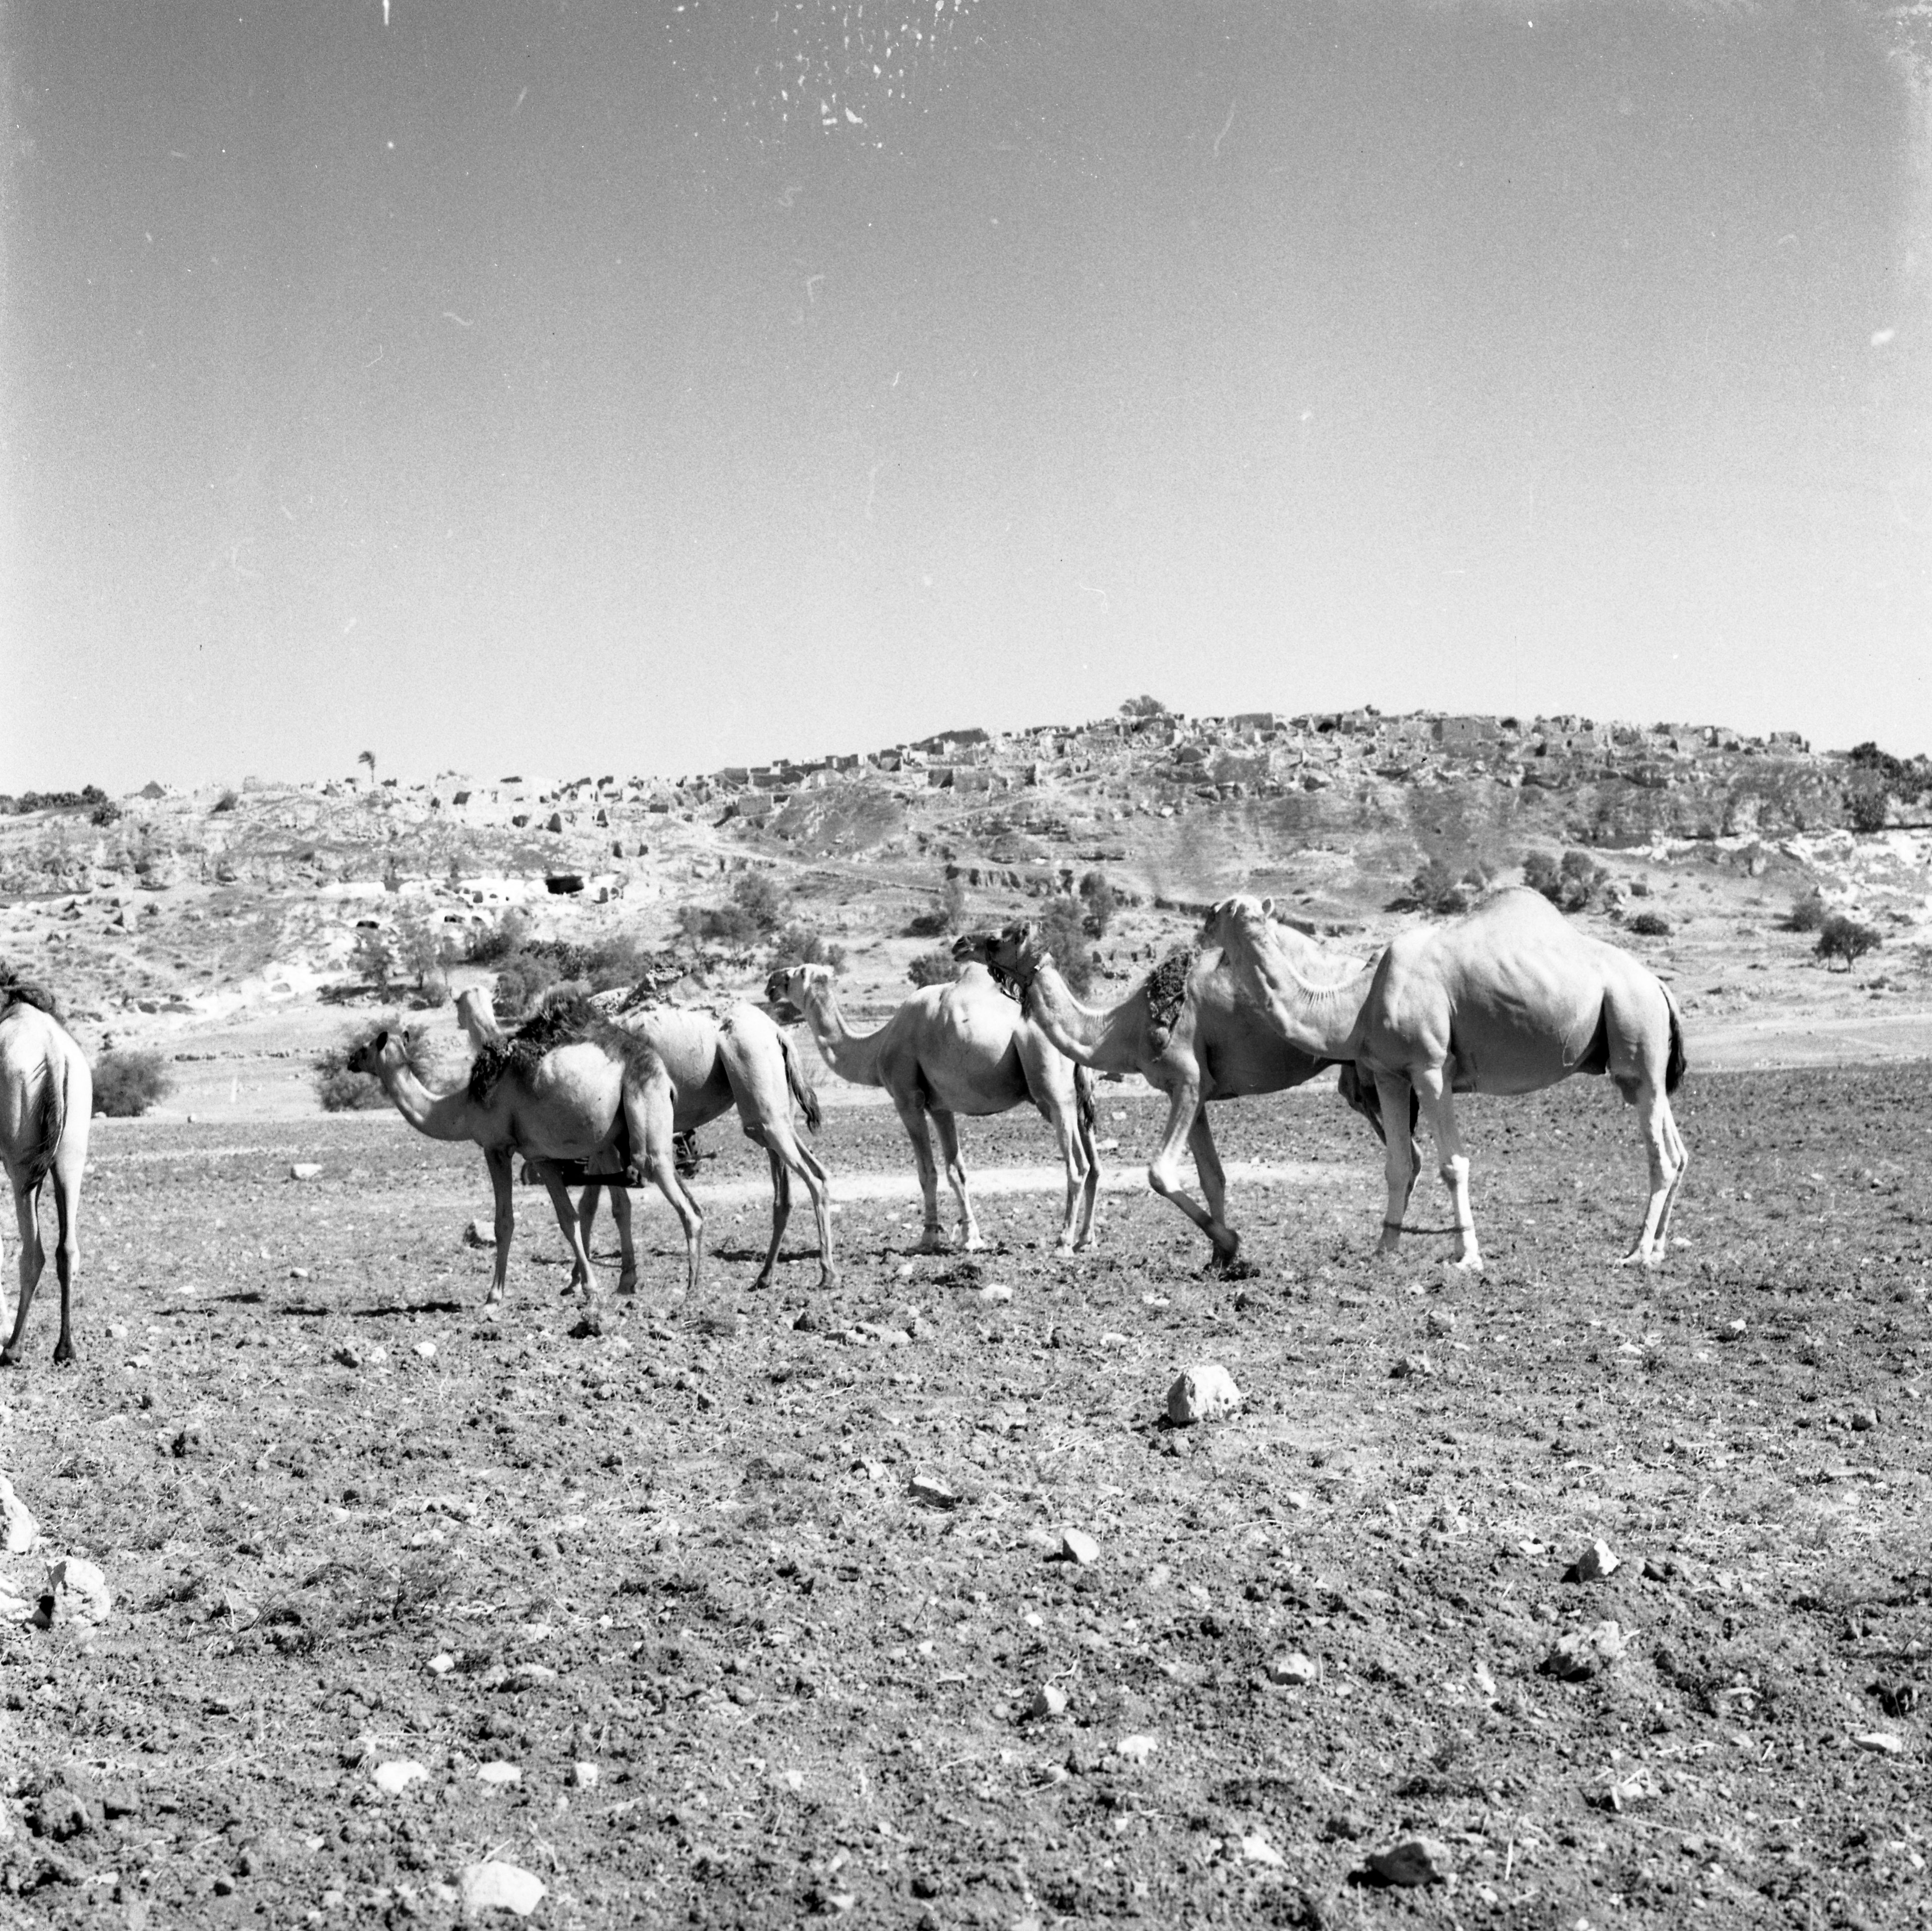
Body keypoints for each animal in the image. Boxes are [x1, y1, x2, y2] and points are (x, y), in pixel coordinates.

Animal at [464, 989, 842, 1291]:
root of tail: (778, 1031)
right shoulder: (602, 1140)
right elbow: (591, 1205)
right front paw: (584, 1281)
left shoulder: (599, 1139)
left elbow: (590, 1205)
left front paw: (580, 1281)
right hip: (772, 1107)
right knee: (794, 1184)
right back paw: (765, 1276)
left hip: (755, 1079)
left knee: (810, 1177)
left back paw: (826, 1274)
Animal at [769, 962, 1105, 1260]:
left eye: (796, 973)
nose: (771, 982)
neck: (877, 1046)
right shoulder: (941, 1107)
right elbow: (957, 1171)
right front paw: (971, 1238)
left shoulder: (908, 1100)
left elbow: (926, 1172)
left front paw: (928, 1237)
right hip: (1076, 1098)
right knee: (1094, 1164)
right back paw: (1086, 1240)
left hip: (1053, 1094)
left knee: (1078, 1165)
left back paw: (1063, 1242)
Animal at [950, 920, 1360, 1268]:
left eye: (996, 940)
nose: (960, 944)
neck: (1125, 1027)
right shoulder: (1196, 1091)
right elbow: (1212, 1177)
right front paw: (1219, 1259)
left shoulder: (1188, 1080)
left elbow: (1159, 1173)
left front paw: (1231, 1241)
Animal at [1329, 885, 1692, 1268]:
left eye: (1352, 1074)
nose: (1348, 1090)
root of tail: (1660, 987)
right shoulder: (1392, 1073)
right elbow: (1399, 1163)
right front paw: (1387, 1247)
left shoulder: (1430, 1066)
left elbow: (1451, 1163)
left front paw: (1466, 1256)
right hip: (1649, 1061)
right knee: (1675, 1145)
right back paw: (1657, 1248)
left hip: (1636, 1021)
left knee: (1663, 1155)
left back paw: (1638, 1252)